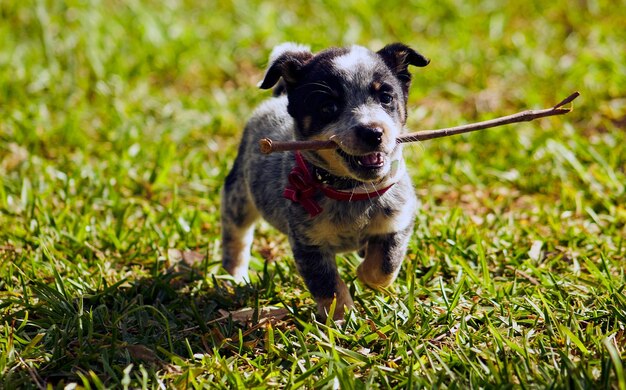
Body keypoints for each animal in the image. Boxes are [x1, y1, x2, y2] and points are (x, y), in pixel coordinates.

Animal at [219, 42, 428, 322]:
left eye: (386, 97)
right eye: (328, 106)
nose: (373, 132)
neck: (351, 191)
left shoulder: (399, 220)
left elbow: (384, 266)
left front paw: (364, 273)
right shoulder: (308, 243)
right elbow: (329, 288)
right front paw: (341, 319)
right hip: (239, 196)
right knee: (236, 236)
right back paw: (235, 277)